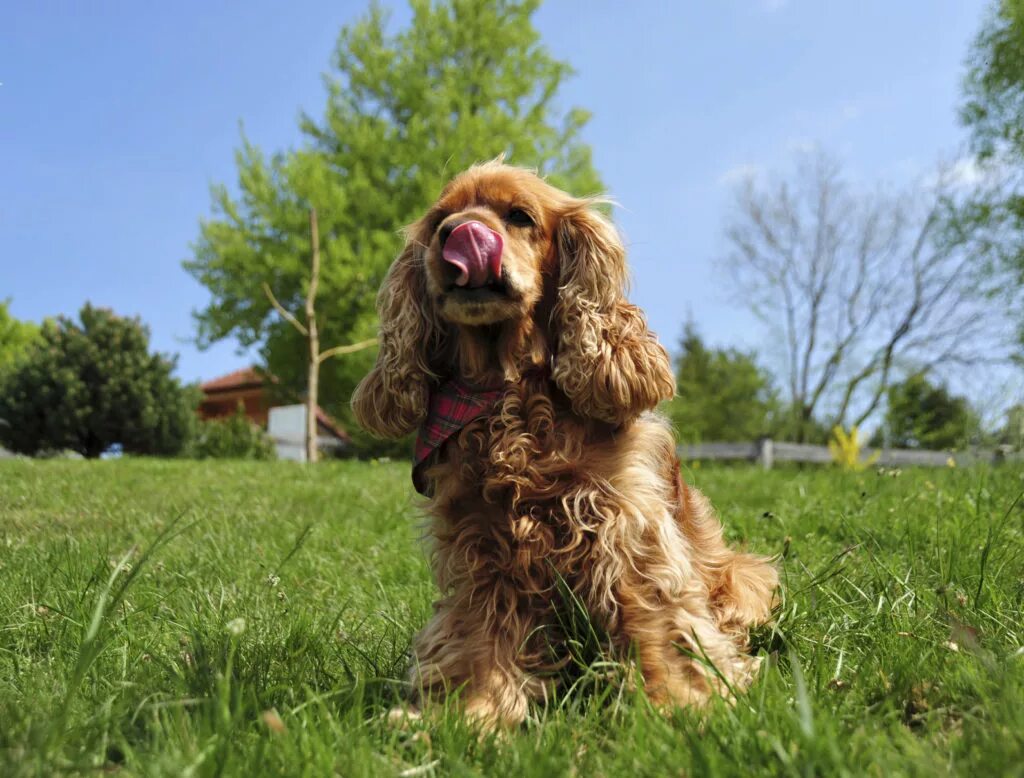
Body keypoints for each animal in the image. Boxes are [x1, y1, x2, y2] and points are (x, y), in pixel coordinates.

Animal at [352, 160, 774, 724]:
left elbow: (656, 614)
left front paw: (676, 704)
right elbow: (478, 633)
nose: (456, 235)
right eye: (439, 219)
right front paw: (469, 712)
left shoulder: (626, 521)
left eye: (519, 216)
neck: (510, 391)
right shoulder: (479, 540)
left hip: (743, 575)